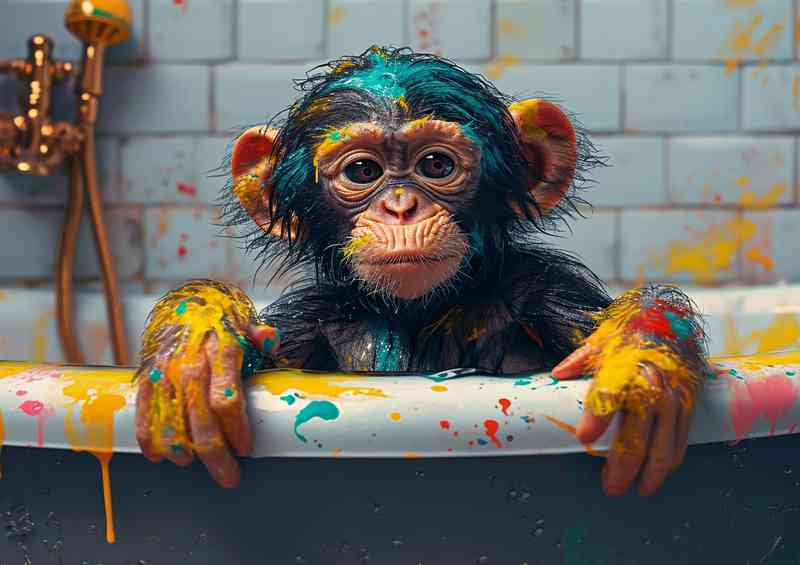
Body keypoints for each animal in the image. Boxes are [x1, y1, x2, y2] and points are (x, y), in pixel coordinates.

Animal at [134, 46, 710, 496]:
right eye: (363, 171)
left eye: (436, 165)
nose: (402, 207)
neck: (420, 310)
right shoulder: (299, 325)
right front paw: (195, 348)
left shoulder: (547, 289)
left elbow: (595, 324)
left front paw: (640, 361)